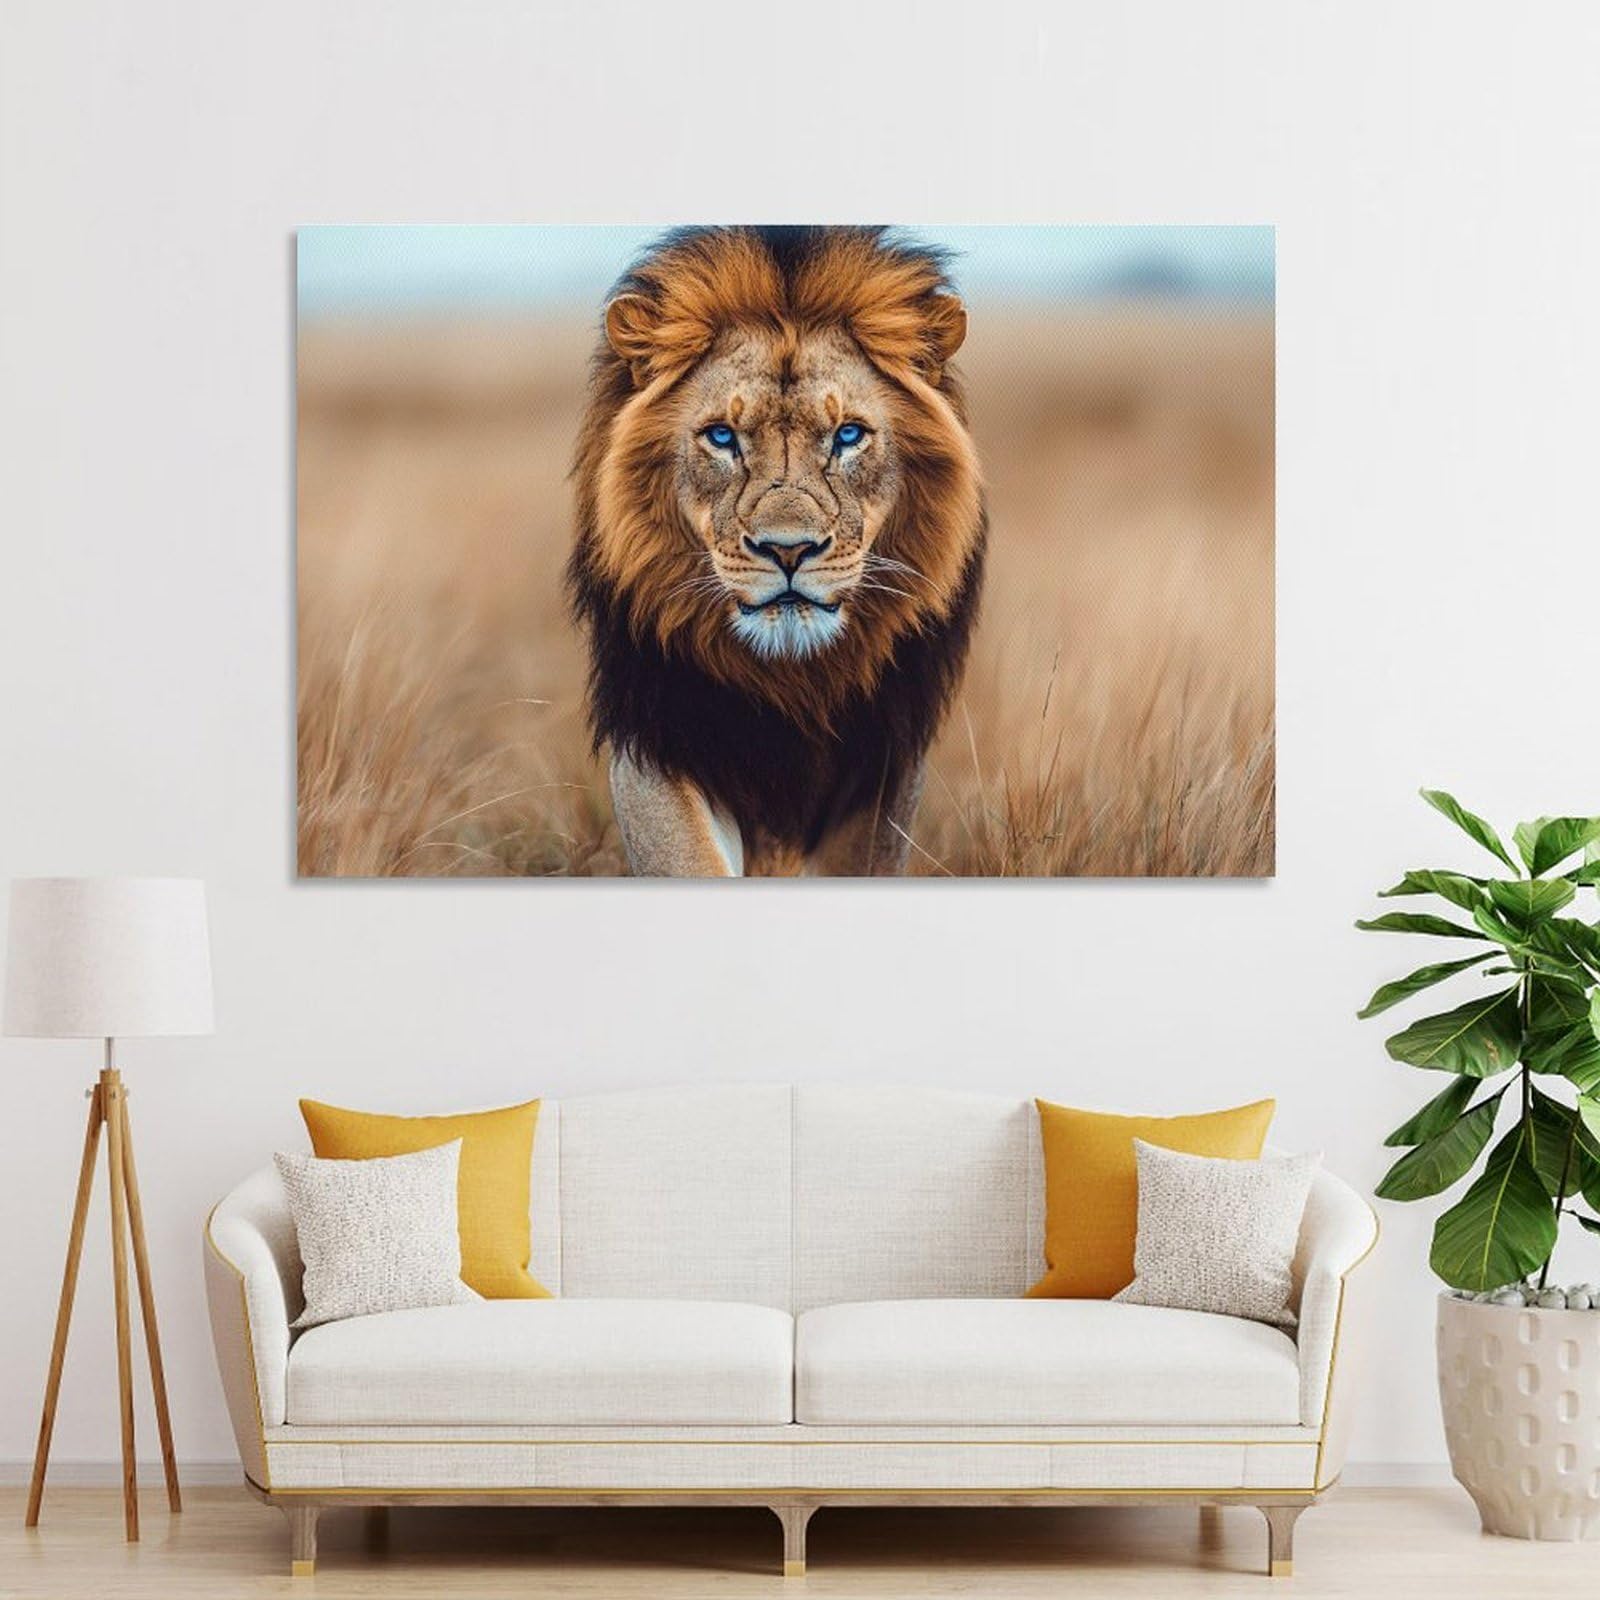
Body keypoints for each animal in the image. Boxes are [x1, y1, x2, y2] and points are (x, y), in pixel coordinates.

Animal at [567, 226, 986, 876]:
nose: (788, 551)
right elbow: (689, 860)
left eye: (847, 435)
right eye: (722, 436)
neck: (793, 678)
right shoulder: (658, 732)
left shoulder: (883, 765)